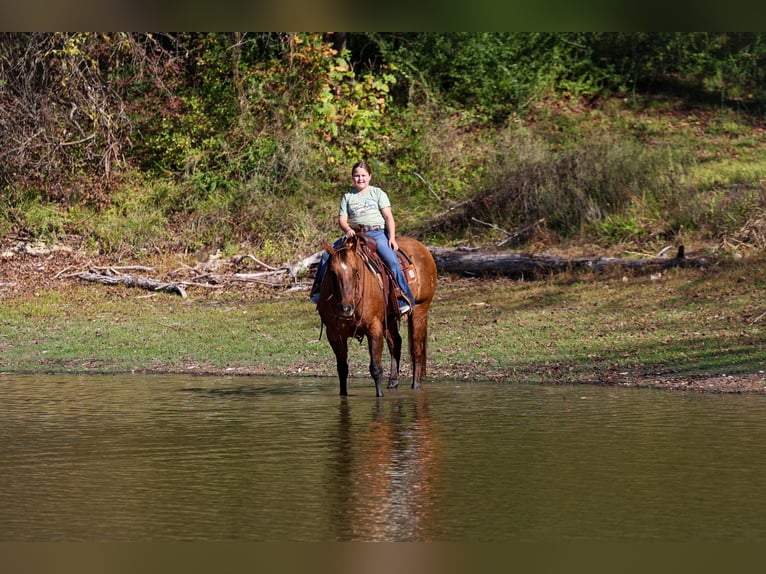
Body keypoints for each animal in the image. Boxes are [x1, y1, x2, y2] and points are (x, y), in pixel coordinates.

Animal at [316, 234, 437, 397]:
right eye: (332, 273)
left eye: (355, 271)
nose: (346, 308)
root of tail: (422, 248)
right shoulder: (334, 334)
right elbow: (342, 369)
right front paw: (343, 396)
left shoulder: (374, 328)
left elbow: (376, 368)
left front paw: (379, 396)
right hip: (389, 320)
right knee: (395, 343)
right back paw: (393, 382)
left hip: (419, 310)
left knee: (416, 349)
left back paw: (416, 385)